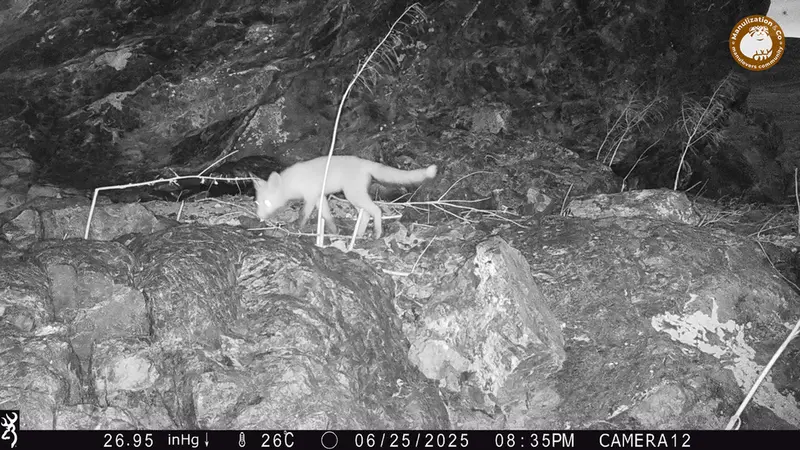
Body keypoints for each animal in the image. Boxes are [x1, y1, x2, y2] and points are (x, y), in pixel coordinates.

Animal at [251, 155, 437, 238]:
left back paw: (377, 233)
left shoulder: (310, 196)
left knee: (376, 210)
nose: (259, 217)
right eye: (257, 203)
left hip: (353, 195)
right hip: (354, 197)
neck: (292, 181)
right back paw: (358, 235)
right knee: (366, 214)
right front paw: (334, 232)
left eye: (268, 202)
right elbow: (327, 216)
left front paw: (296, 228)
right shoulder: (319, 197)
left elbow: (303, 215)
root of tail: (364, 162)